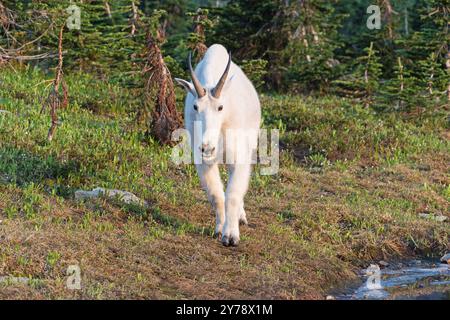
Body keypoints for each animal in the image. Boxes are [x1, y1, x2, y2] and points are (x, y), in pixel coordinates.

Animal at [175, 43, 262, 246]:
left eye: (220, 107)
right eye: (196, 107)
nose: (207, 147)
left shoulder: (239, 157)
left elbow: (233, 194)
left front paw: (231, 236)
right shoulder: (203, 162)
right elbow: (216, 195)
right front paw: (219, 229)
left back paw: (240, 217)